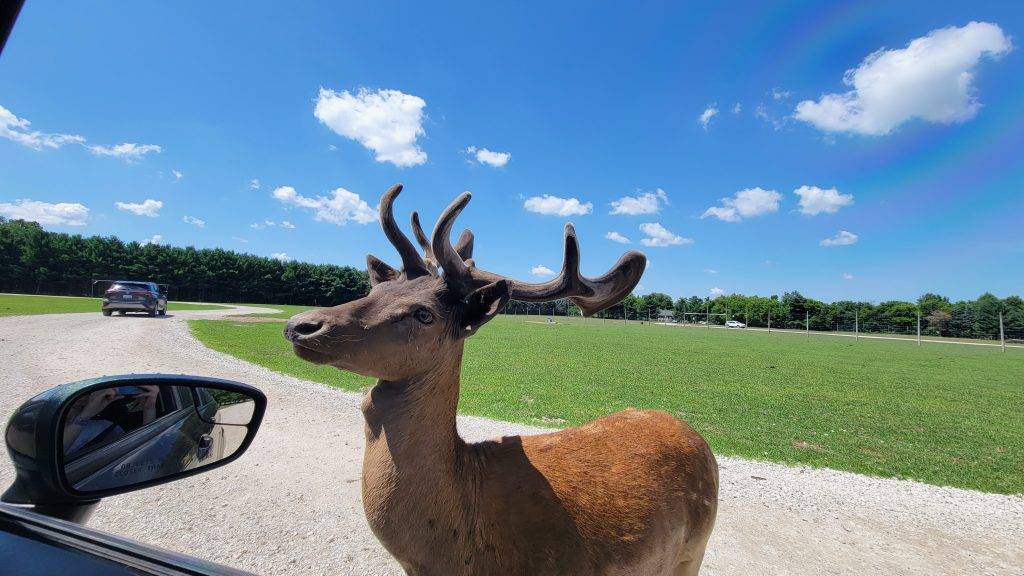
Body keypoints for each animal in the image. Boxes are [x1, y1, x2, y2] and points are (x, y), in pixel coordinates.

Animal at [284, 184, 720, 573]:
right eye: (374, 290)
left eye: (423, 313)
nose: (300, 325)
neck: (452, 556)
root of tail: (698, 438)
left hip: (692, 552)